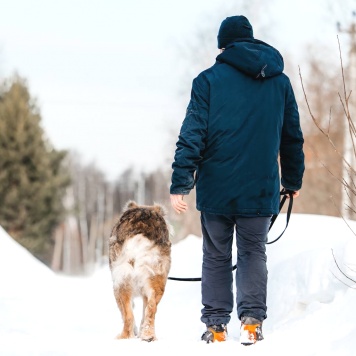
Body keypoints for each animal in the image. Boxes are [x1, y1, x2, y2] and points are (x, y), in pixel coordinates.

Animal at [108, 200, 172, 342]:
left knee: (128, 315)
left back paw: (125, 336)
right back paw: (148, 335)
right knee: (151, 308)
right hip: (155, 280)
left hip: (120, 283)